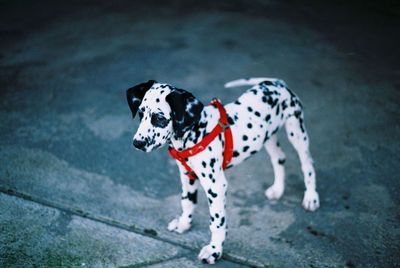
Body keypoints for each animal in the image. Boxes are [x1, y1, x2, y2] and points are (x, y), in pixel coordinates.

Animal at [126, 77, 320, 264]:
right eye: (141, 114)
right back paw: (278, 190)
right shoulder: (187, 176)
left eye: (160, 118)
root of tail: (278, 83)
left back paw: (311, 197)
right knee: (279, 158)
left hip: (297, 130)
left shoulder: (216, 186)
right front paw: (184, 223)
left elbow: (217, 221)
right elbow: (187, 202)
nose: (137, 143)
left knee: (307, 164)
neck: (196, 133)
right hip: (269, 137)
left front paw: (214, 250)